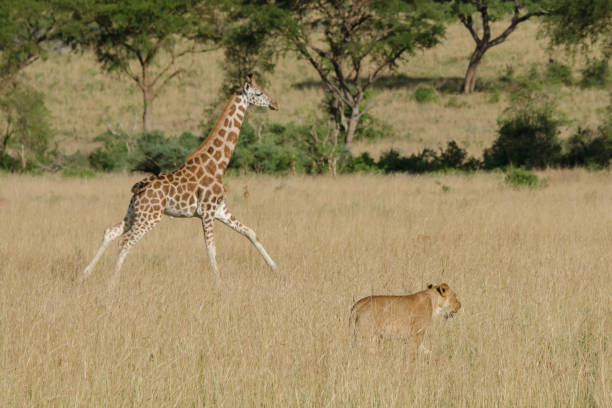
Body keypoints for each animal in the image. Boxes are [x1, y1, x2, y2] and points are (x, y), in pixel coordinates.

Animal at [81, 75, 280, 288]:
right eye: (258, 93)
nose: (275, 104)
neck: (217, 166)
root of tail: (139, 189)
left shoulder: (220, 210)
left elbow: (251, 232)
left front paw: (275, 268)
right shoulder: (207, 212)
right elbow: (211, 248)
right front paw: (220, 283)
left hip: (134, 213)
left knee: (110, 232)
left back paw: (84, 274)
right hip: (150, 217)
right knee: (124, 242)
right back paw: (111, 284)